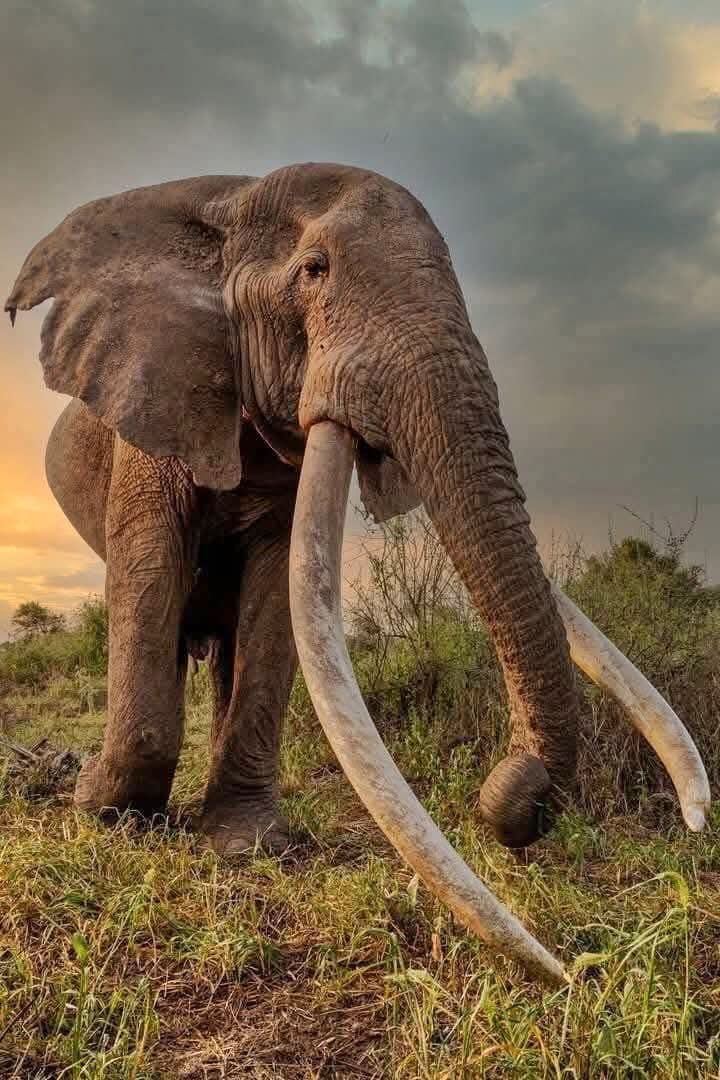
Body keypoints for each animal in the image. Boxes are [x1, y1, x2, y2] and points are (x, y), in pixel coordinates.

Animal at [6, 163, 710, 984]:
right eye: (314, 270)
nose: (518, 791)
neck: (229, 201)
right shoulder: (152, 402)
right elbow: (151, 569)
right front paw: (103, 812)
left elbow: (278, 586)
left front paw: (248, 845)